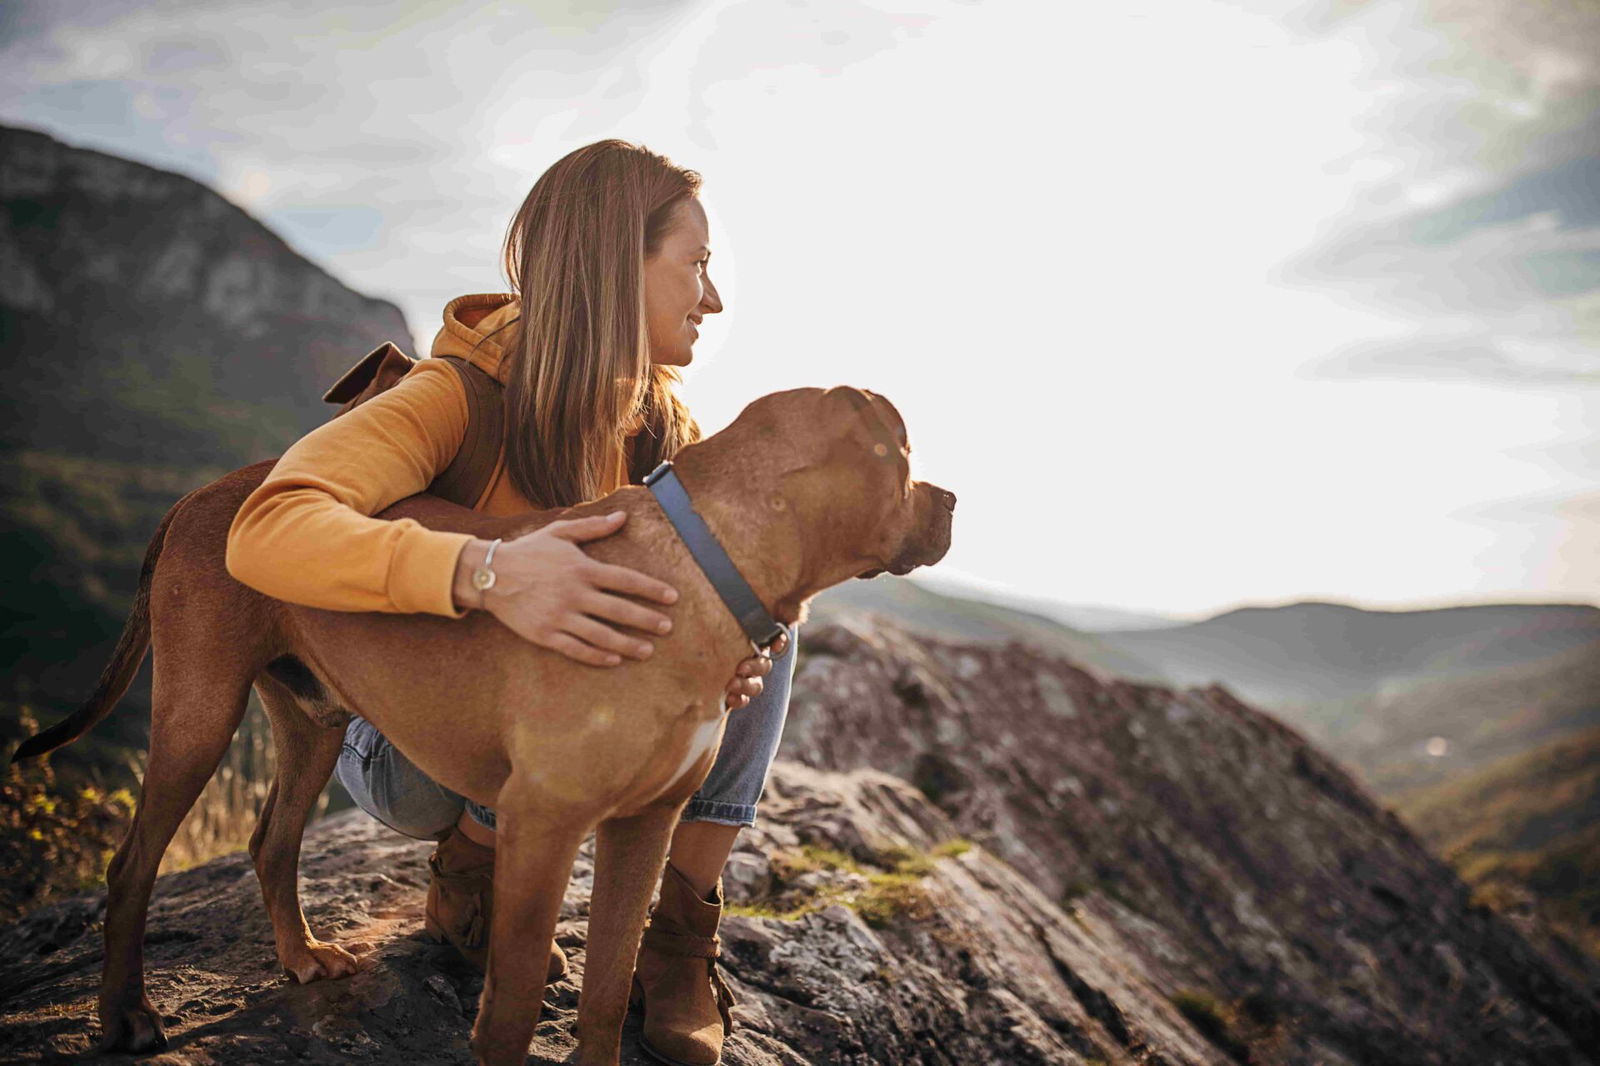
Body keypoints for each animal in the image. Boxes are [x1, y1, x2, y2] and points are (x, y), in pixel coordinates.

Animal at [12, 382, 947, 1062]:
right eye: (905, 455)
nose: (954, 498)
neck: (703, 560)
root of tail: (205, 494)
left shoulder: (643, 826)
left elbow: (606, 989)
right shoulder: (545, 825)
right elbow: (516, 1001)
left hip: (313, 718)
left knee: (270, 841)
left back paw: (303, 955)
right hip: (200, 711)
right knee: (132, 865)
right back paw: (127, 1015)